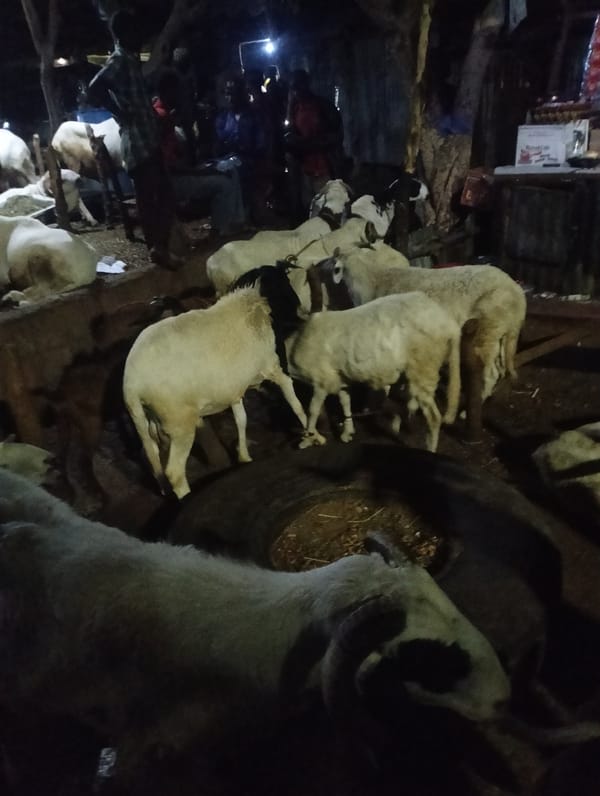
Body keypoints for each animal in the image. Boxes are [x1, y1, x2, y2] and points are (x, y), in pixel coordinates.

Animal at [123, 268, 309, 498]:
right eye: (284, 282)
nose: (300, 308)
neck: (251, 305)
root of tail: (132, 383)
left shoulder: (233, 388)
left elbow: (241, 420)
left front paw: (244, 457)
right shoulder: (276, 369)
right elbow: (296, 404)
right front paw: (312, 435)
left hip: (146, 423)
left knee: (153, 459)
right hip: (180, 424)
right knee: (174, 472)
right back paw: (186, 498)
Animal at [285, 291, 462, 452]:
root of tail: (449, 325)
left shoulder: (322, 381)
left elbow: (312, 410)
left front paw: (308, 438)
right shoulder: (340, 379)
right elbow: (345, 401)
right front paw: (347, 432)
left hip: (424, 367)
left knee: (434, 417)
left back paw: (430, 449)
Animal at [320, 258, 527, 405]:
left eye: (334, 263)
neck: (374, 281)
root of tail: (518, 295)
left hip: (487, 331)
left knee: (490, 373)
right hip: (499, 334)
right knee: (499, 369)